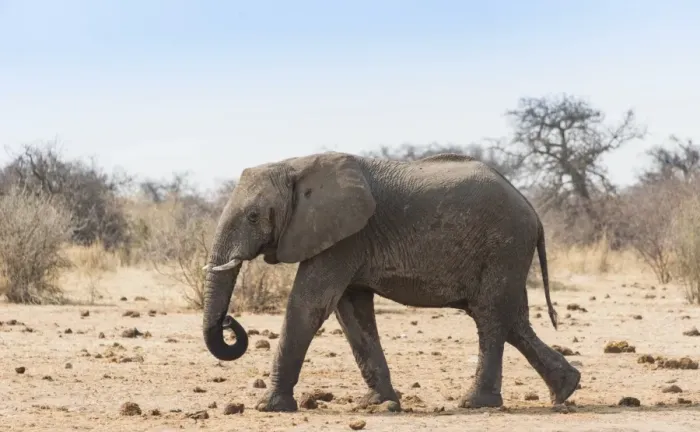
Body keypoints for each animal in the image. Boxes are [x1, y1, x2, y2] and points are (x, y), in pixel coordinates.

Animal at [201, 151, 581, 412]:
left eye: (253, 216)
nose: (230, 323)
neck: (295, 164)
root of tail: (532, 210)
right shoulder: (346, 238)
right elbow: (351, 312)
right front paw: (378, 405)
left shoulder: (345, 237)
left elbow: (309, 306)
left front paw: (270, 407)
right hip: (509, 251)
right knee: (511, 320)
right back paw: (566, 389)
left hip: (504, 245)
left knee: (490, 316)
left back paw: (476, 403)